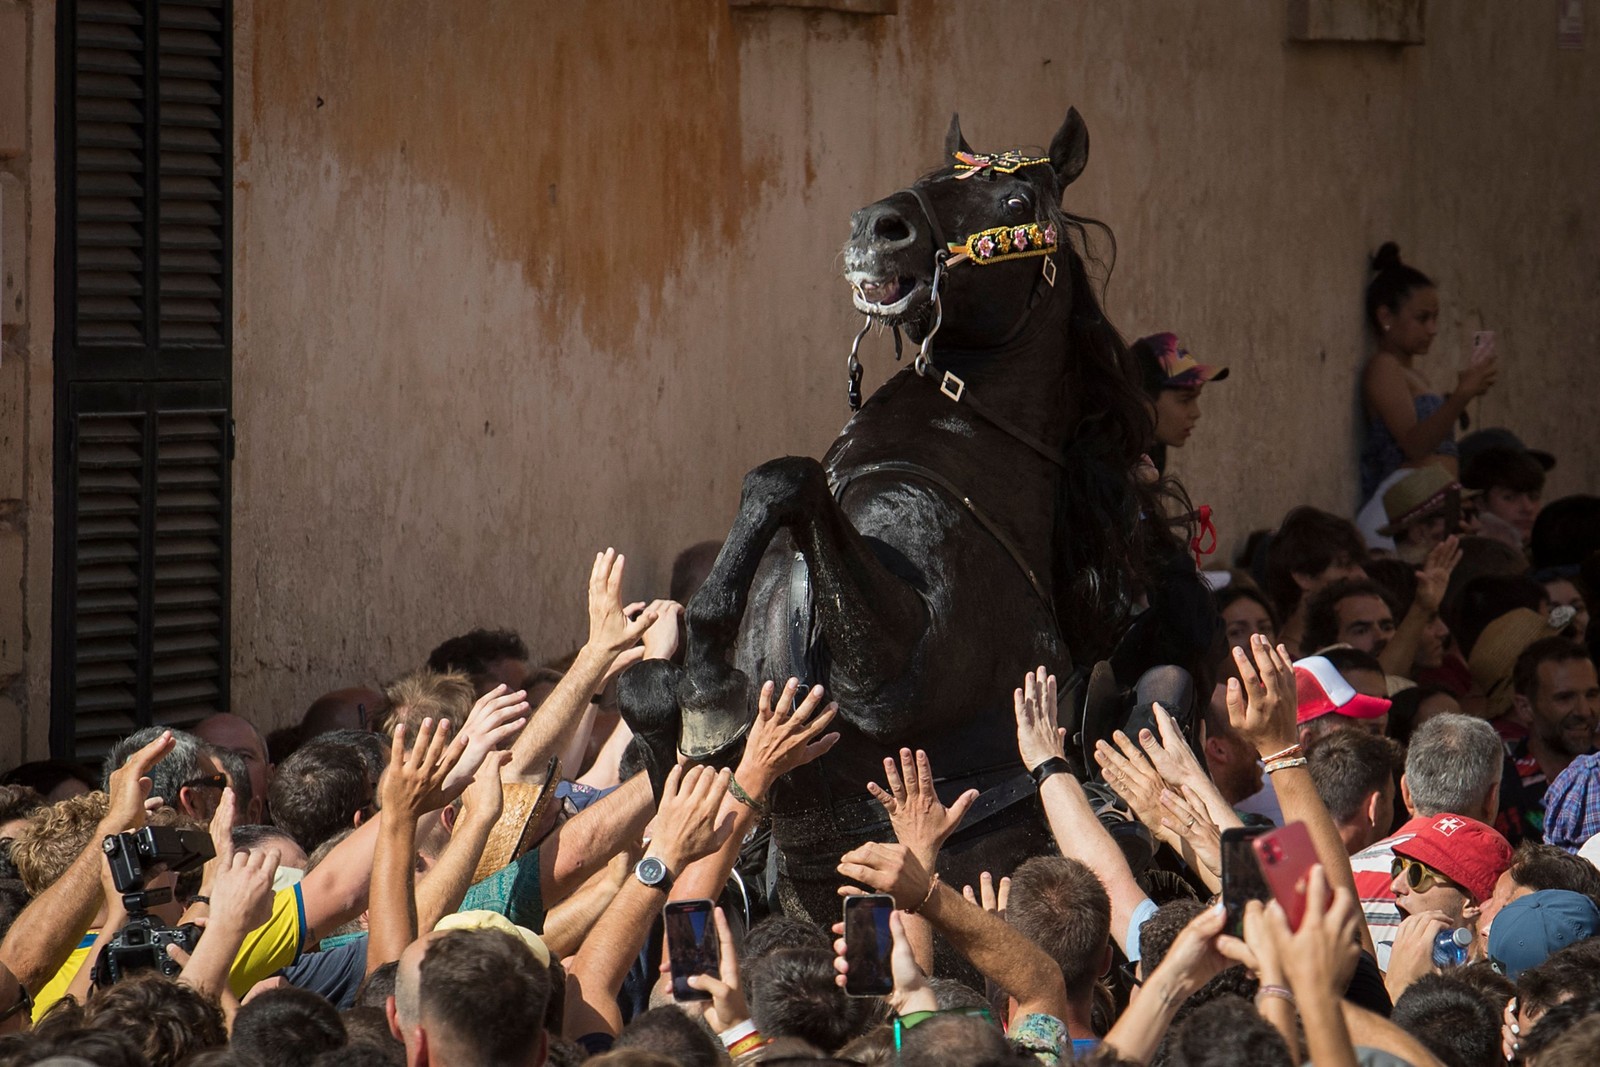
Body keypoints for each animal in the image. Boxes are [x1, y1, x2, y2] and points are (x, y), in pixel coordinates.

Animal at [617, 106, 1203, 927]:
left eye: (1017, 202)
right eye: (928, 176)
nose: (877, 226)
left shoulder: (892, 677)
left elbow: (787, 476)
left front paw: (705, 682)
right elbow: (644, 686)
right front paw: (698, 692)